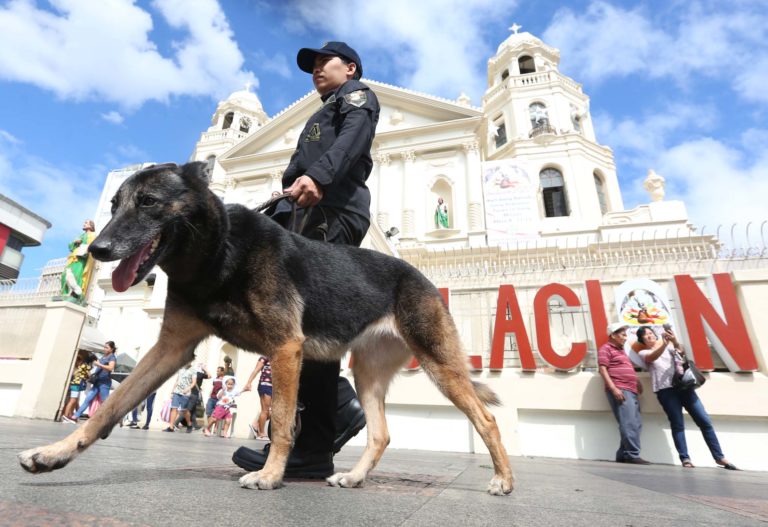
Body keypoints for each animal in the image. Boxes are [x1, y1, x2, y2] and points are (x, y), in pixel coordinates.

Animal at [16, 163, 510, 498]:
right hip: (367, 373)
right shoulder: (171, 349)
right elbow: (110, 407)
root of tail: (419, 275)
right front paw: (53, 454)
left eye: (149, 202)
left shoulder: (286, 348)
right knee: (381, 433)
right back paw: (353, 477)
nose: (96, 249)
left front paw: (271, 475)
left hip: (439, 365)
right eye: (114, 206)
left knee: (485, 419)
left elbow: (283, 422)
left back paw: (503, 480)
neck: (218, 251)